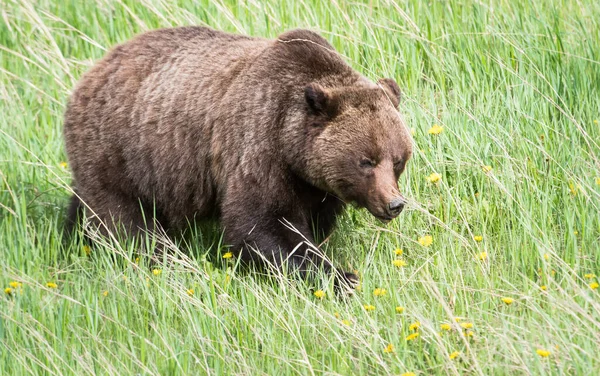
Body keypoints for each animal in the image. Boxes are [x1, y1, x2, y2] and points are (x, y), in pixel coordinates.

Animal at [64, 26, 412, 290]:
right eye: (366, 161)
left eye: (398, 160)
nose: (394, 203)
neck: (292, 147)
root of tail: (92, 71)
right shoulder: (257, 145)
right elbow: (262, 223)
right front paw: (340, 276)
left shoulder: (315, 186)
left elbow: (311, 223)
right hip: (119, 153)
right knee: (126, 221)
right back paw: (161, 258)